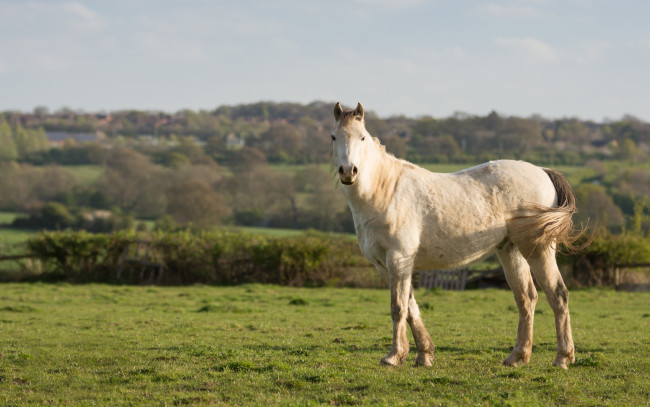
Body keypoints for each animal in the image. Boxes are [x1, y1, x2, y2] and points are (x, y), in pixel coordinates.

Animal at [330, 102, 576, 370]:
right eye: (334, 136)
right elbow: (411, 308)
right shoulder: (385, 265)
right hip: (510, 250)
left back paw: (562, 358)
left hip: (537, 249)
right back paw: (517, 357)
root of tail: (542, 171)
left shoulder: (398, 259)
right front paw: (424, 355)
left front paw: (394, 356)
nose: (348, 171)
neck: (386, 191)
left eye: (362, 137)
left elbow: (398, 308)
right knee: (527, 299)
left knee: (558, 295)